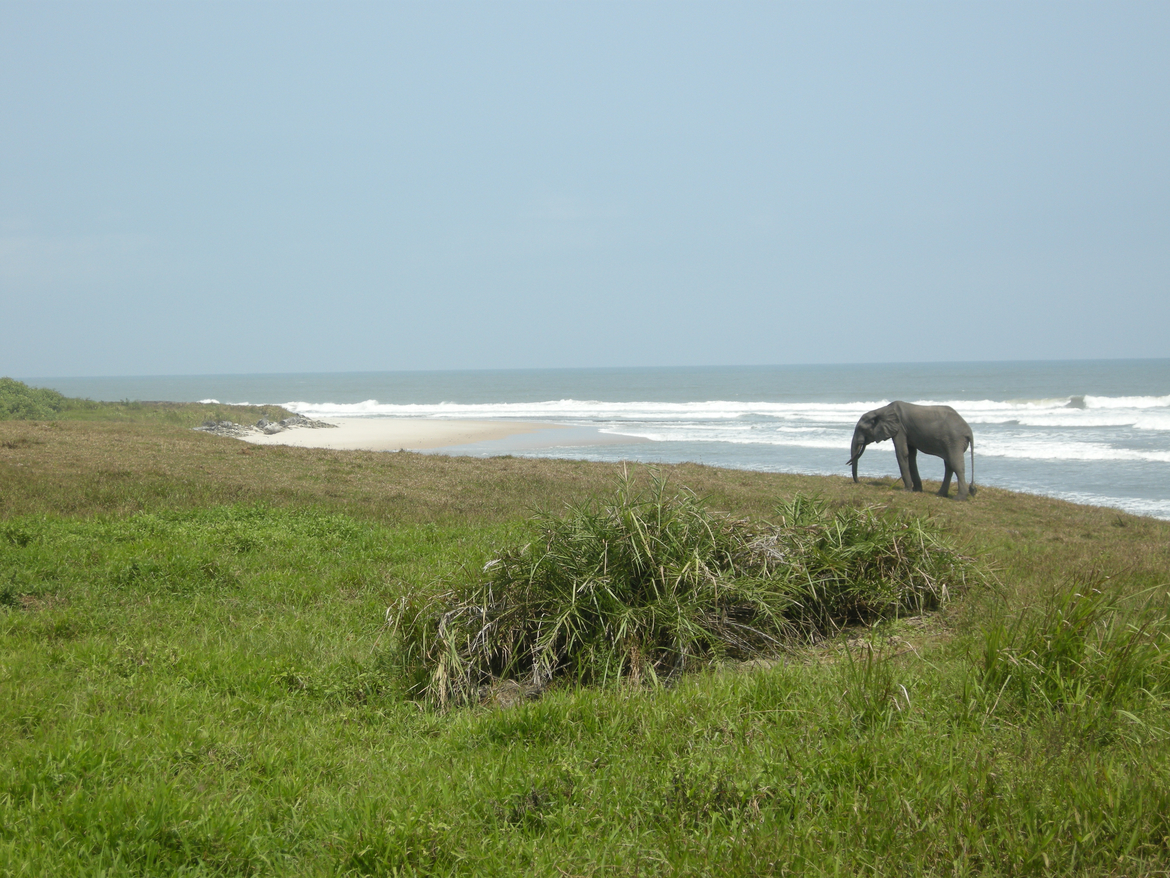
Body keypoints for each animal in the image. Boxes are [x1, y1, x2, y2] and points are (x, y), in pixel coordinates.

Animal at [847, 401, 976, 499]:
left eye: (861, 429)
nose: (859, 482)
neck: (881, 410)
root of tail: (969, 431)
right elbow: (911, 456)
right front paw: (917, 490)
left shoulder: (900, 429)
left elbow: (902, 453)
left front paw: (906, 490)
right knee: (948, 465)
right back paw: (940, 494)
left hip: (954, 440)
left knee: (955, 464)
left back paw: (959, 498)